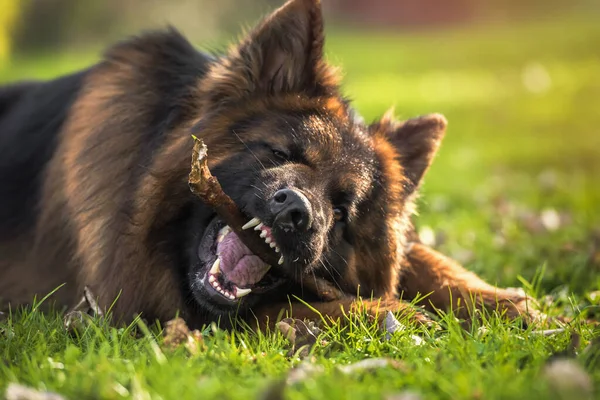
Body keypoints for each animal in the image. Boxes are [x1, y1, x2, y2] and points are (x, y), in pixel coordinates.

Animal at [0, 0, 540, 328]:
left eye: (342, 211)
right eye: (281, 154)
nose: (296, 213)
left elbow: (424, 257)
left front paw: (507, 303)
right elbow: (305, 304)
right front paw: (391, 312)